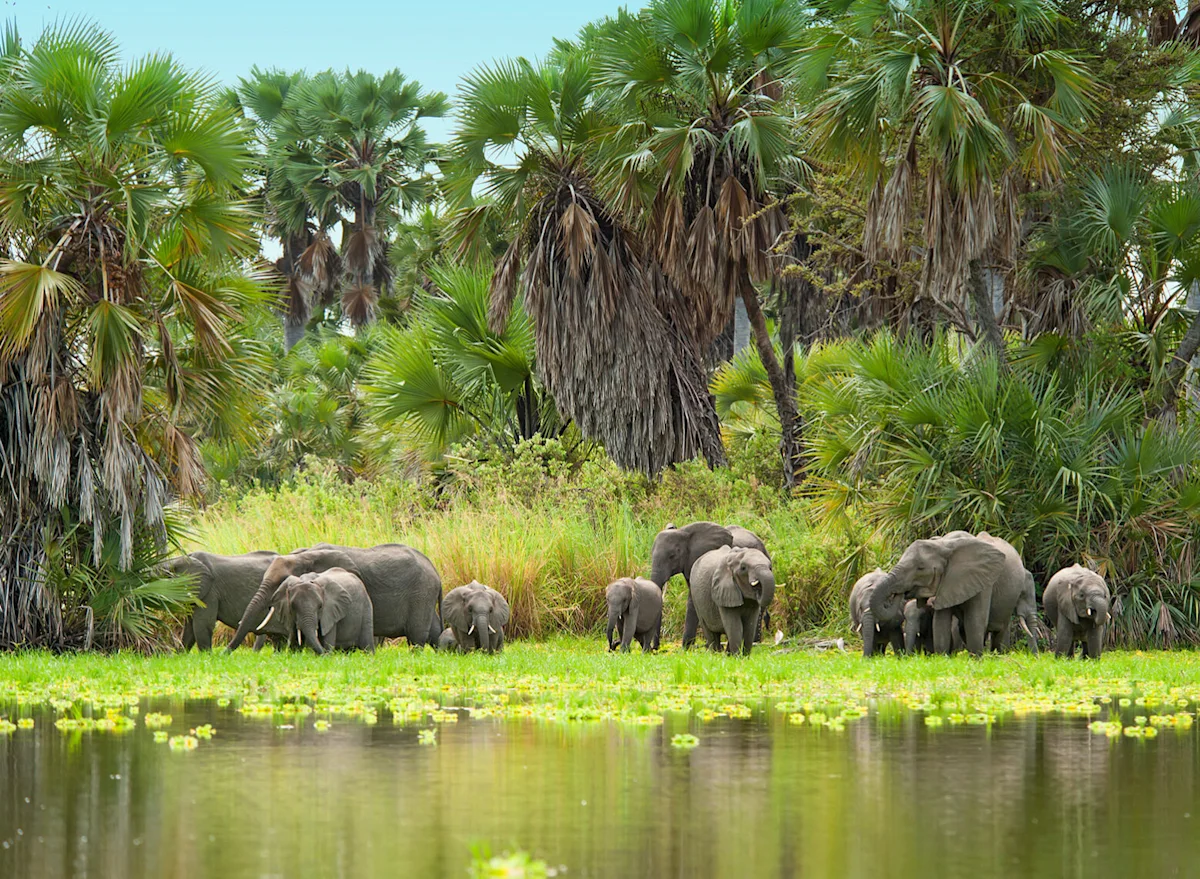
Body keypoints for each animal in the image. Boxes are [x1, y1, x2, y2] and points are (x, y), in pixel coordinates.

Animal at [227, 544, 442, 652]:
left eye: (281, 581)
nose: (224, 654)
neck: (305, 555)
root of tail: (434, 570)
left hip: (421, 594)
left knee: (417, 636)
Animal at [869, 531, 1029, 656]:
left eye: (920, 568)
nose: (900, 593)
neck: (944, 544)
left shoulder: (983, 579)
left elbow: (975, 621)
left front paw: (976, 660)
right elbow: (940, 623)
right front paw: (942, 659)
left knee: (999, 631)